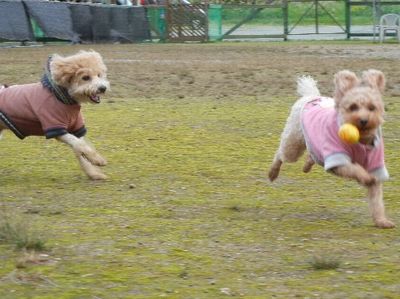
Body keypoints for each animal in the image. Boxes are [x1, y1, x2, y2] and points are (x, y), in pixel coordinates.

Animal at [0, 50, 109, 180]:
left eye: (99, 75)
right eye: (85, 77)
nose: (102, 88)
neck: (62, 98)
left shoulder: (76, 128)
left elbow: (80, 149)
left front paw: (93, 173)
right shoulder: (55, 127)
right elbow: (80, 144)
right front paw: (97, 159)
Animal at [268, 71, 394, 230]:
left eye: (372, 107)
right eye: (353, 107)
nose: (364, 120)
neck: (361, 140)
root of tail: (311, 95)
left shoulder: (375, 165)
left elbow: (376, 198)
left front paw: (382, 221)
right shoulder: (337, 159)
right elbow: (355, 169)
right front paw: (365, 177)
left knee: (312, 155)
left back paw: (306, 166)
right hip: (294, 142)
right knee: (281, 154)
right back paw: (273, 173)